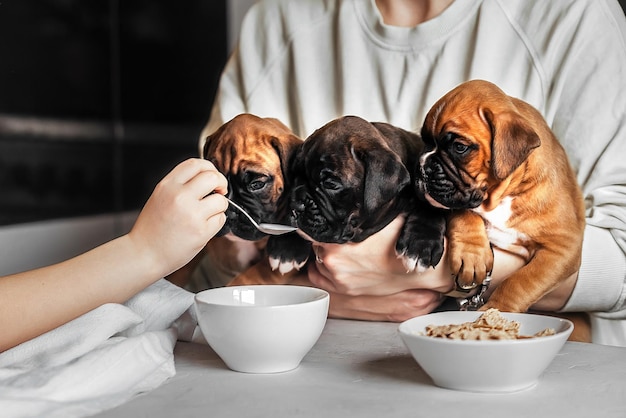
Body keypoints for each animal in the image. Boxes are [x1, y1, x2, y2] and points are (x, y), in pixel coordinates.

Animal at [414, 78, 584, 316]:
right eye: (425, 141)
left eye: (460, 147)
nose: (423, 167)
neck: (503, 195)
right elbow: (464, 213)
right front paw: (471, 253)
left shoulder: (562, 248)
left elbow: (522, 281)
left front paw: (500, 309)